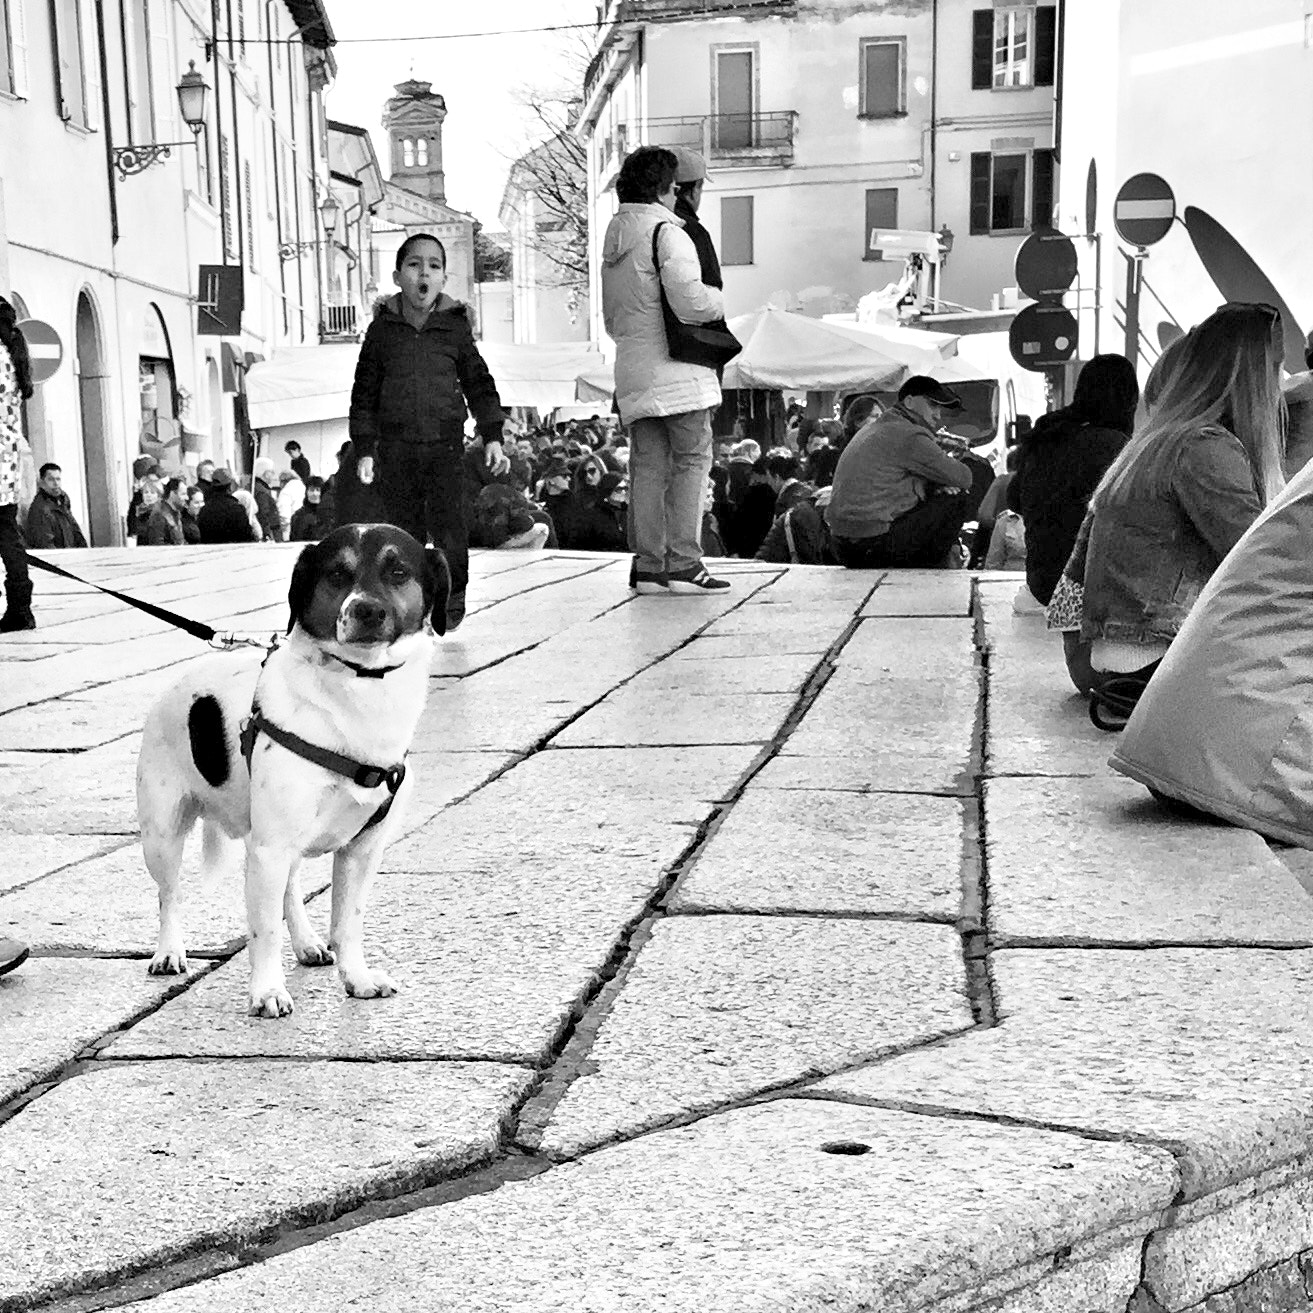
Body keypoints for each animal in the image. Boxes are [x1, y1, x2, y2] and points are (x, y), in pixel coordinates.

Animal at [135, 522, 449, 1013]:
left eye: (398, 570)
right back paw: (169, 951)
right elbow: (263, 932)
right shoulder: (269, 849)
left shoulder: (361, 850)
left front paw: (356, 977)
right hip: (163, 836)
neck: (358, 694)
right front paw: (266, 990)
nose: (366, 610)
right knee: (170, 896)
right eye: (336, 573)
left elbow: (348, 923)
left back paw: (305, 943)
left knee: (289, 893)